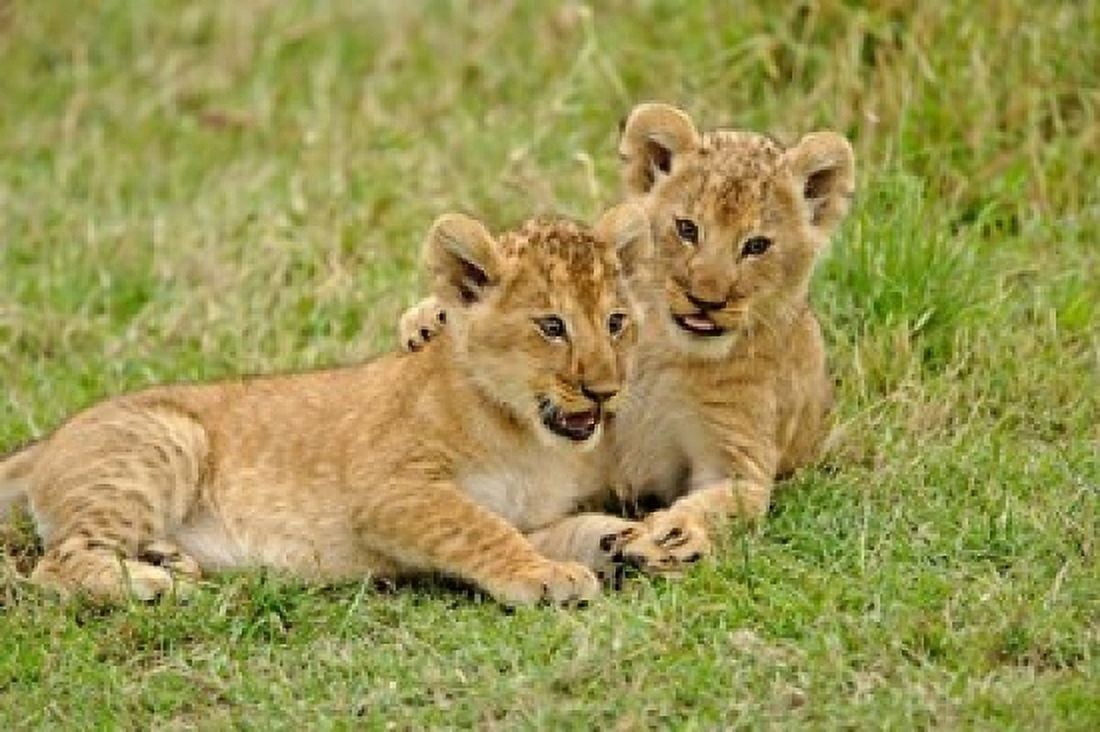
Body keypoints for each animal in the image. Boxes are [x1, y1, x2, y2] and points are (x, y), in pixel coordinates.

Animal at [0, 205, 674, 606]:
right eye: (552, 326)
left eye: (616, 322)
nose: (605, 390)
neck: (530, 438)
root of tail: (49, 440)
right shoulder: (391, 492)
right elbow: (482, 529)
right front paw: (545, 577)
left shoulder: (533, 514)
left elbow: (560, 528)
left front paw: (633, 541)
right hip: (166, 439)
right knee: (54, 564)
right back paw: (150, 581)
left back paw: (169, 560)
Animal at [400, 104, 855, 564]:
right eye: (687, 229)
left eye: (757, 245)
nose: (705, 300)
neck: (667, 351)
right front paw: (428, 319)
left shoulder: (739, 456)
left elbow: (725, 499)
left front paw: (676, 533)